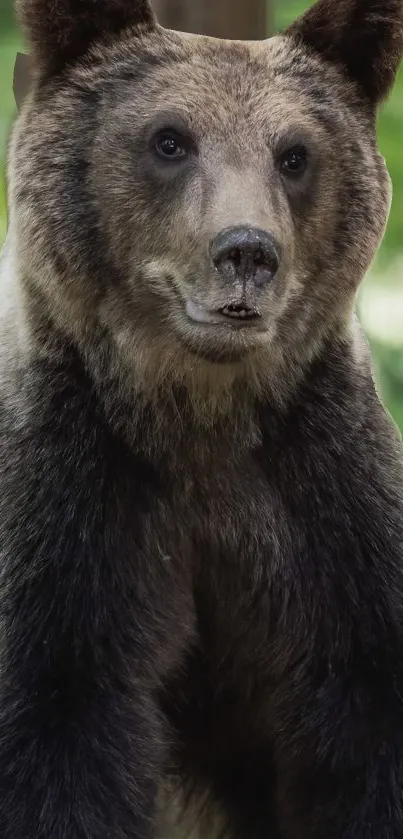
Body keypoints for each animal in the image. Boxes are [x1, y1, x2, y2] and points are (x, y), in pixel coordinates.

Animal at [0, 0, 403, 836]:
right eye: (169, 139)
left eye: (293, 154)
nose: (246, 251)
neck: (199, 413)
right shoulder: (69, 502)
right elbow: (59, 732)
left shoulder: (327, 504)